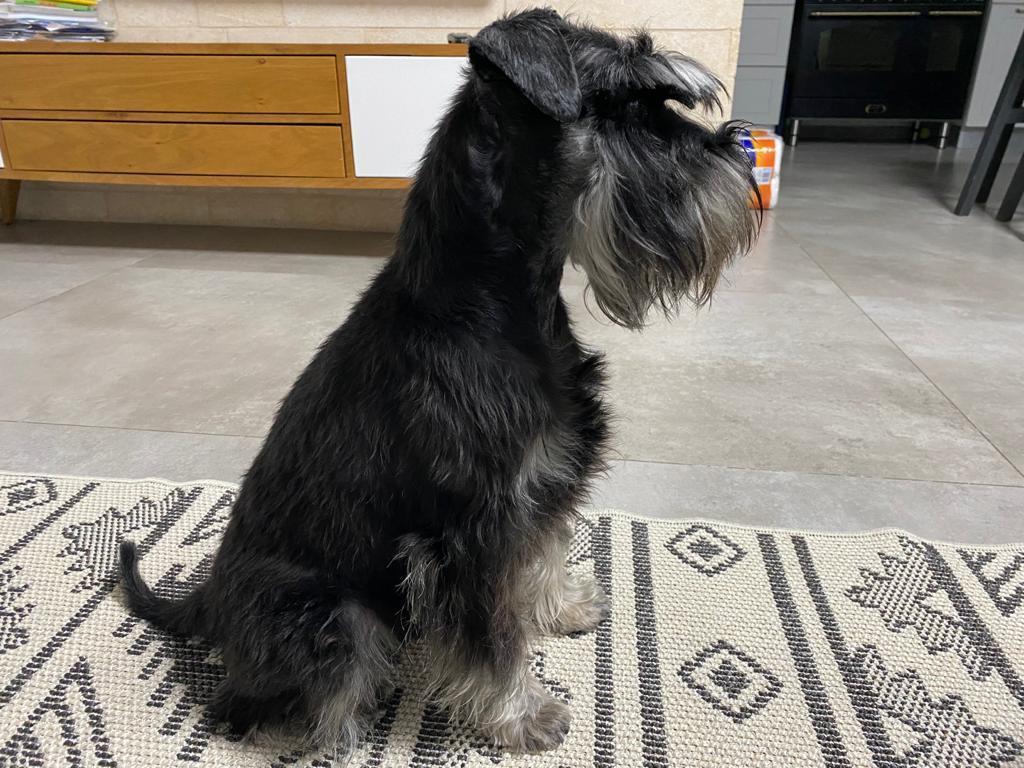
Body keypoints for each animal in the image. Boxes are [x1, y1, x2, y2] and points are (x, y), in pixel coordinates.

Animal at [120, 8, 757, 755]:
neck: (490, 303)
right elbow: (493, 638)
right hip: (336, 617)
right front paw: (522, 714)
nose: (740, 151)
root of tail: (210, 602)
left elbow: (540, 557)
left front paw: (561, 607)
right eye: (624, 104)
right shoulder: (474, 529)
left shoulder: (541, 485)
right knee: (265, 701)